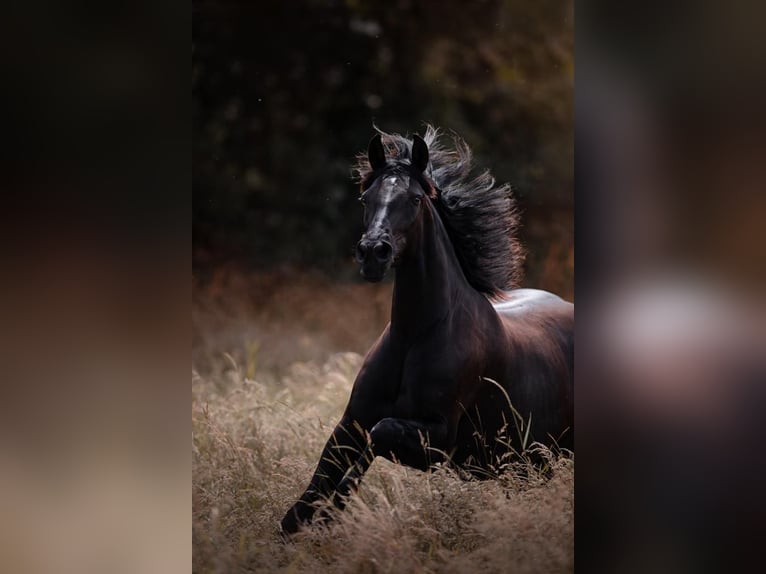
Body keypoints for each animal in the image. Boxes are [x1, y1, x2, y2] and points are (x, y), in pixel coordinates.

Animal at [280, 126, 572, 536]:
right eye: (365, 197)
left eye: (415, 199)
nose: (373, 253)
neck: (414, 336)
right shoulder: (350, 423)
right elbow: (305, 500)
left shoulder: (438, 438)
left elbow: (379, 434)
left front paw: (332, 513)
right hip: (526, 466)